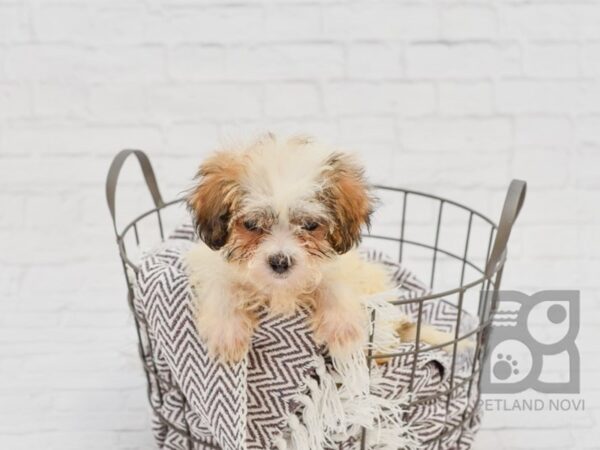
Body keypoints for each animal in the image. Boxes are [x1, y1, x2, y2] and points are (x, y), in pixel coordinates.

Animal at [185, 134, 452, 362]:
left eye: (310, 225)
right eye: (251, 225)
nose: (280, 262)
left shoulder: (341, 264)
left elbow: (334, 282)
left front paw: (344, 329)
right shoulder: (210, 264)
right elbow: (221, 286)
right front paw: (226, 332)